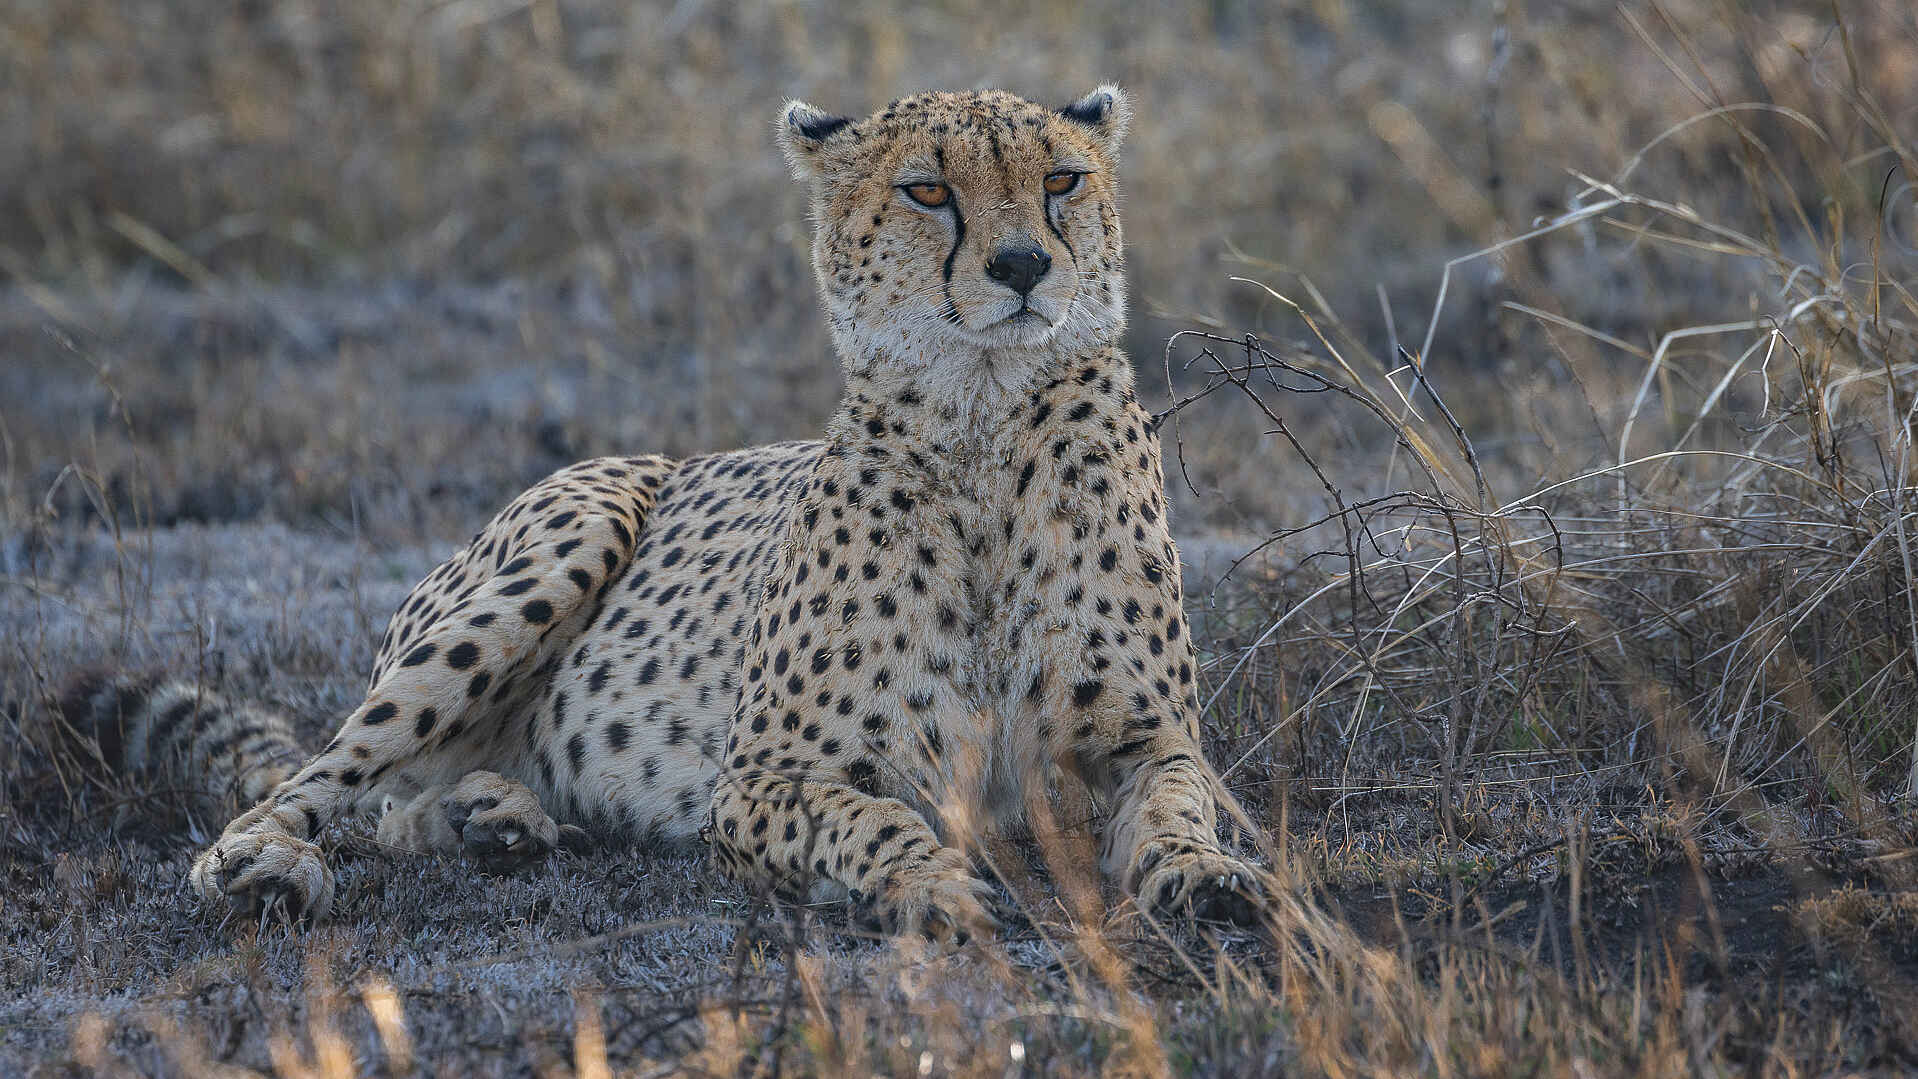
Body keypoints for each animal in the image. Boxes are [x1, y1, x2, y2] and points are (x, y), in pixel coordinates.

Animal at [61, 86, 1264, 943]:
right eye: (929, 191)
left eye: (1061, 179)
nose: (1021, 266)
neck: (984, 423)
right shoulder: (760, 779)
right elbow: (874, 815)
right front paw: (930, 887)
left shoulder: (1146, 739)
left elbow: (1180, 802)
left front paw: (1208, 876)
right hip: (561, 543)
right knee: (312, 788)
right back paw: (270, 868)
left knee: (407, 806)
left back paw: (496, 819)